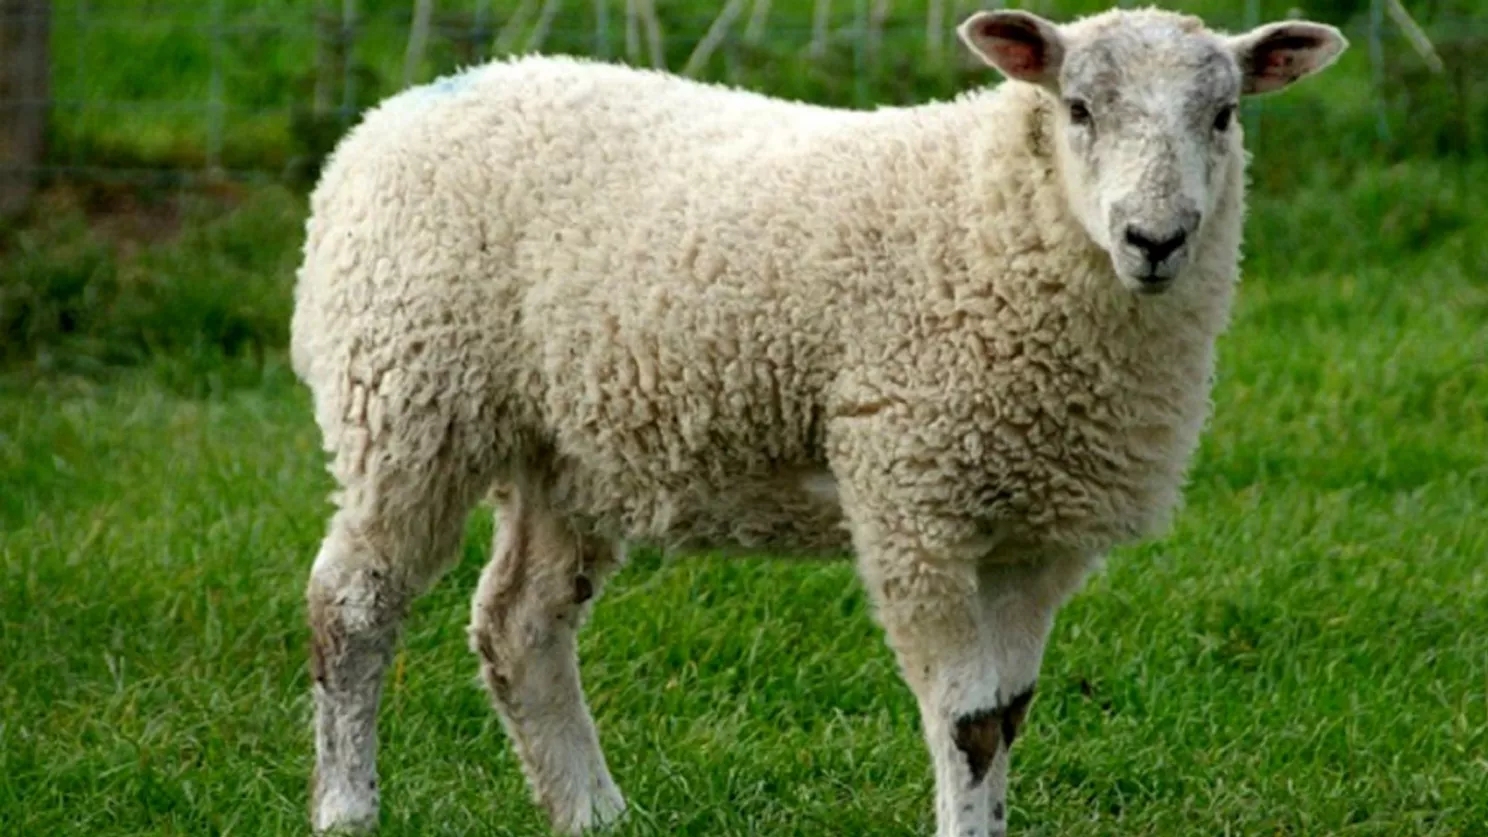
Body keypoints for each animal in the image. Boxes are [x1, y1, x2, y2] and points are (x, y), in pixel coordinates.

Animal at [291, 7, 1347, 836]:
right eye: (1078, 108)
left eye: (1224, 114)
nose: (1156, 240)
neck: (997, 217)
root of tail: (386, 120)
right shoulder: (914, 500)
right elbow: (966, 720)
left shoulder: (1040, 531)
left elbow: (1009, 712)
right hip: (409, 394)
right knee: (353, 604)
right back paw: (348, 806)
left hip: (569, 446)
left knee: (520, 623)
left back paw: (591, 810)